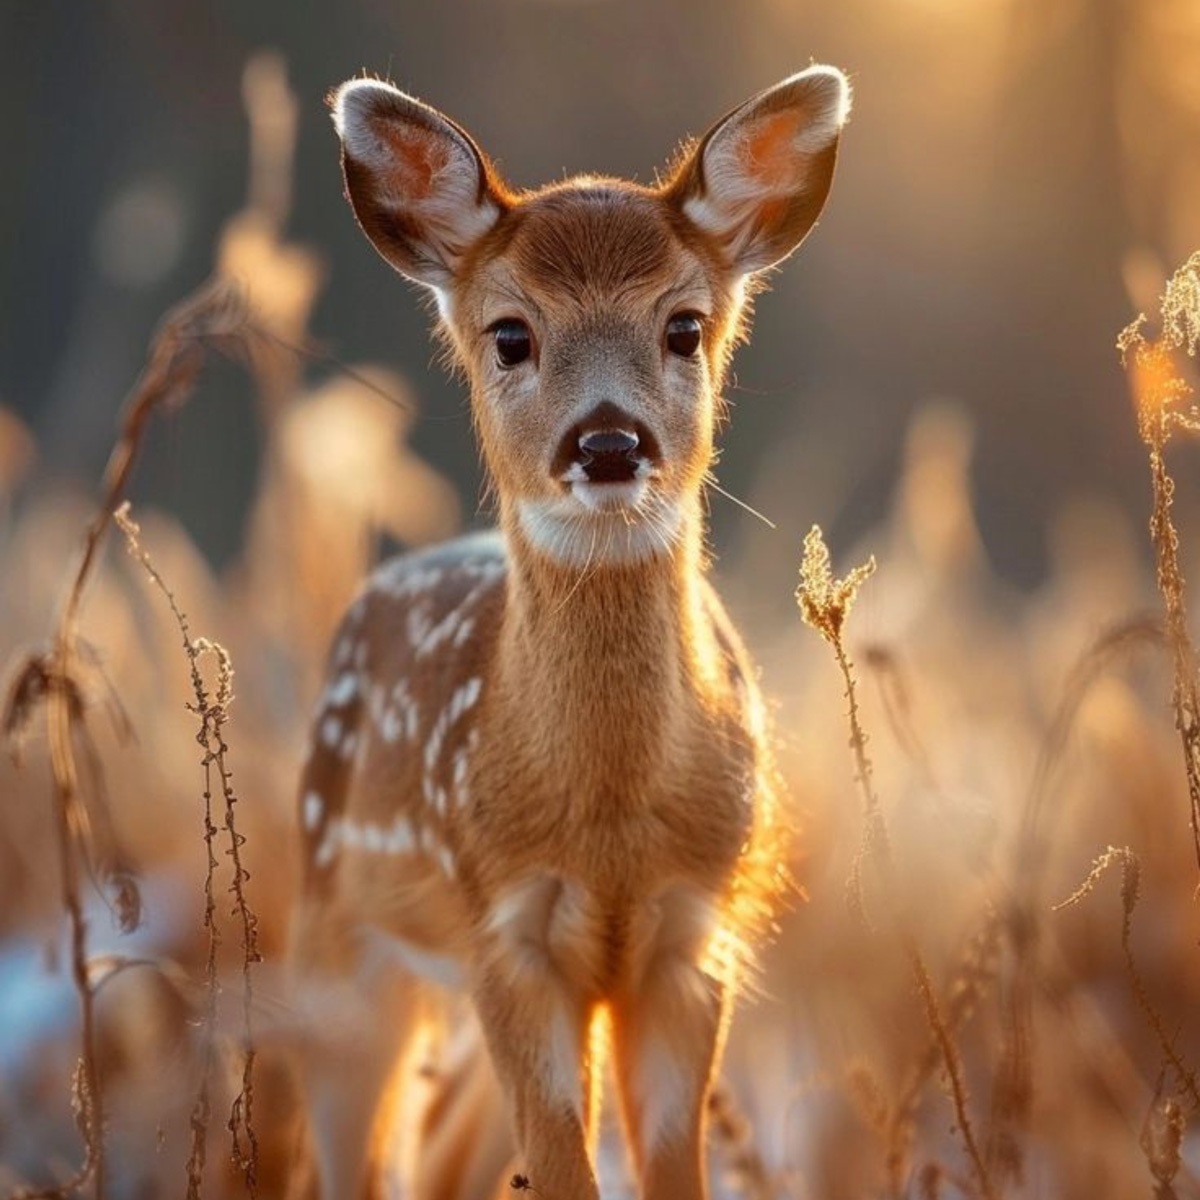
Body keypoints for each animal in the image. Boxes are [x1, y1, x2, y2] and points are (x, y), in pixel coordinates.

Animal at [290, 64, 850, 1199]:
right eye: (511, 333)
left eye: (684, 326)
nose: (607, 441)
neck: (609, 831)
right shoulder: (504, 932)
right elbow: (561, 1165)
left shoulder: (694, 936)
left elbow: (667, 1168)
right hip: (339, 937)